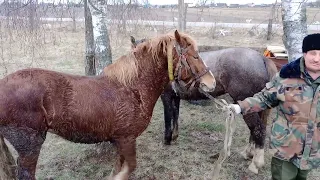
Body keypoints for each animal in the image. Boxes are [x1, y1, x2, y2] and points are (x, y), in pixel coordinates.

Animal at [0, 30, 216, 179]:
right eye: (195, 56)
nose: (211, 82)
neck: (132, 88)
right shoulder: (127, 140)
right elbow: (127, 169)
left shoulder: (119, 141)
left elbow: (118, 168)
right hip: (29, 147)